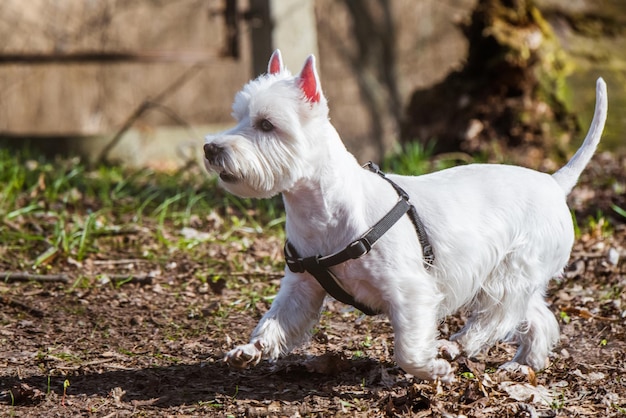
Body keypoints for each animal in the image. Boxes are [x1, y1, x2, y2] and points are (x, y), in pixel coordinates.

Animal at [204, 49, 604, 382]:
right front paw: (250, 350)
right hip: (516, 278)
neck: (322, 210)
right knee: (537, 317)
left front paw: (432, 370)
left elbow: (407, 350)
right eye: (239, 117)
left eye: (267, 124)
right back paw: (523, 365)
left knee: (497, 316)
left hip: (510, 272)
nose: (210, 148)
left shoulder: (410, 291)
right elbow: (275, 321)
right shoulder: (302, 287)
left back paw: (457, 346)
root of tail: (554, 183)